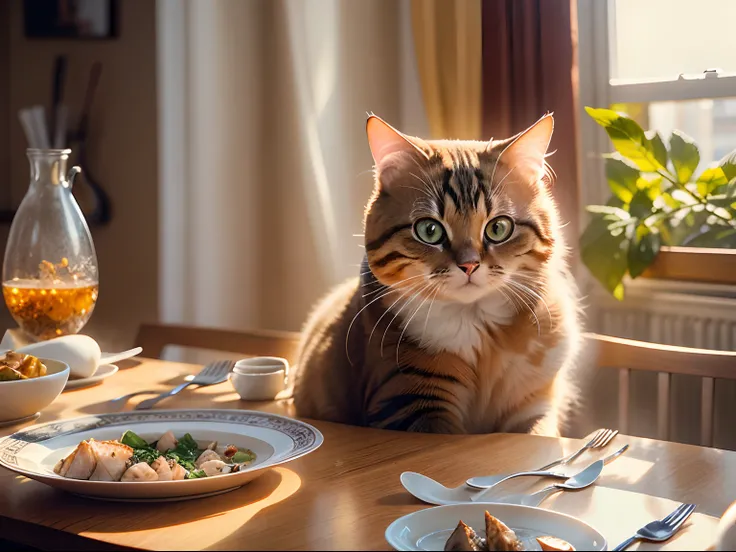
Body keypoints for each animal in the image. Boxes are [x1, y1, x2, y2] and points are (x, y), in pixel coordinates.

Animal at [288, 114, 580, 436]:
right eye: (430, 230)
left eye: (498, 228)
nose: (469, 265)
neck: (483, 334)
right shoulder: (411, 401)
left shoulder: (535, 403)